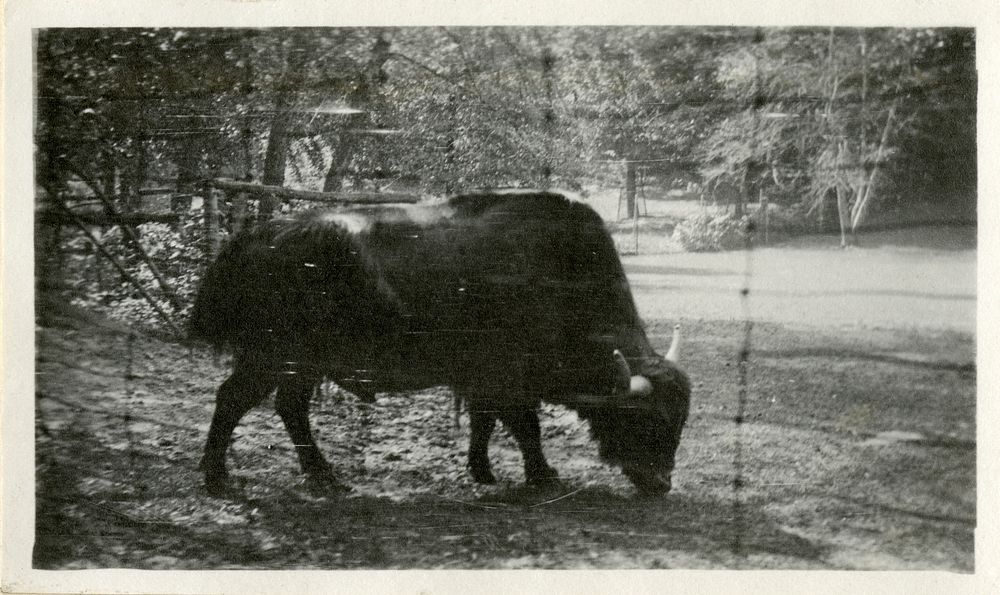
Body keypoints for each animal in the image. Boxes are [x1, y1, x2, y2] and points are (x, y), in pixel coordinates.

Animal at [189, 192, 688, 498]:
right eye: (650, 421)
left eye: (679, 421)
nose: (661, 484)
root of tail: (250, 239)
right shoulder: (506, 380)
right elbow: (524, 426)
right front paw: (544, 476)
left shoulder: (481, 382)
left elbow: (485, 423)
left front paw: (483, 471)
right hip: (275, 358)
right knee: (235, 399)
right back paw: (219, 478)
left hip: (299, 365)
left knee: (287, 408)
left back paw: (322, 477)